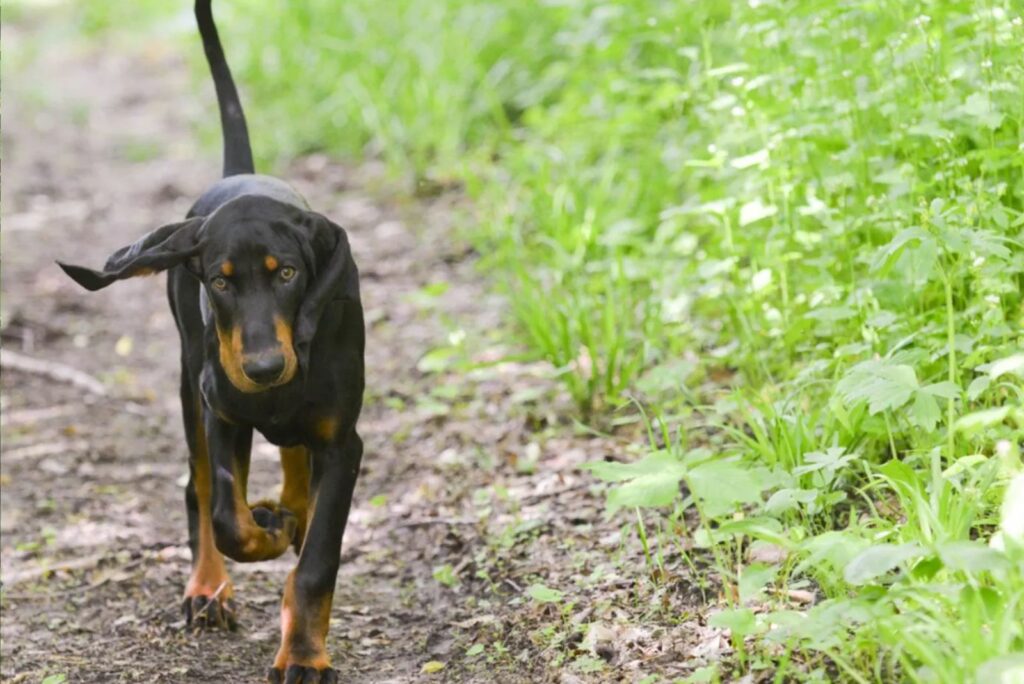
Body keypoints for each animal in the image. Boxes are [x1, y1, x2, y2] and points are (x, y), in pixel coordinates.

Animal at [58, 2, 364, 679]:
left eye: (287, 273)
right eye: (220, 281)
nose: (265, 366)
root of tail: (240, 172)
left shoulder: (343, 443)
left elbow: (317, 562)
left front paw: (304, 655)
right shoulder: (220, 410)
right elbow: (227, 516)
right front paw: (266, 530)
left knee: (294, 462)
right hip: (189, 385)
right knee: (198, 488)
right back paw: (210, 587)